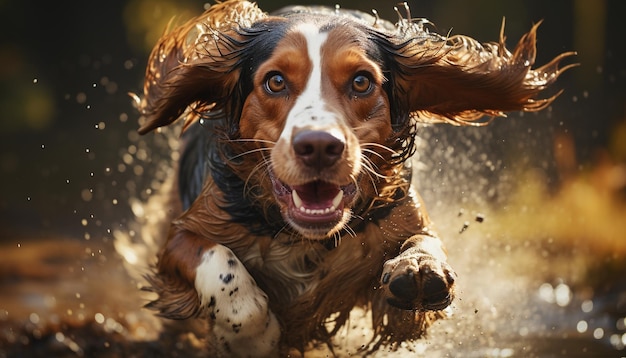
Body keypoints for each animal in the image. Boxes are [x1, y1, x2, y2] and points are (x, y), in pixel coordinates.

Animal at [134, 0, 572, 356]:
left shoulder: (403, 216)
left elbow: (425, 242)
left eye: (361, 81)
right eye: (275, 81)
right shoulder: (184, 233)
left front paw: (418, 268)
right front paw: (251, 337)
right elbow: (222, 266)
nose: (318, 146)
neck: (304, 238)